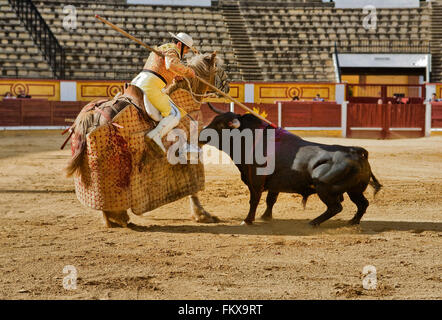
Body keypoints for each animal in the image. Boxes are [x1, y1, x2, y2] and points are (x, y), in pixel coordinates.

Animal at [65, 52, 231, 228]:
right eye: (221, 70)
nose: (227, 88)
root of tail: (91, 114)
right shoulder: (193, 146)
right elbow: (194, 185)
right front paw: (202, 214)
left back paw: (114, 219)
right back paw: (121, 218)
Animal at [202, 104, 382, 226]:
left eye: (221, 125)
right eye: (214, 120)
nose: (202, 135)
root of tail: (356, 151)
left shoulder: (256, 181)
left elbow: (254, 200)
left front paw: (248, 220)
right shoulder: (274, 182)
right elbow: (271, 200)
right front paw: (266, 217)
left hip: (324, 187)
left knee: (336, 207)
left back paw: (313, 222)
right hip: (354, 190)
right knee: (362, 204)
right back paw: (352, 222)